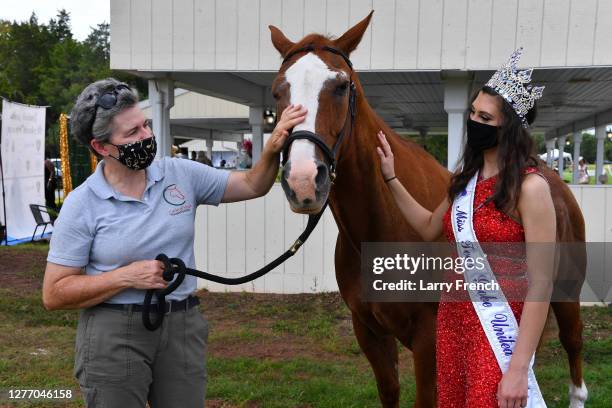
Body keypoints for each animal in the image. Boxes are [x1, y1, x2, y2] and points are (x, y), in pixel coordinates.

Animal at [268, 11, 588, 406]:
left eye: (342, 86)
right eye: (277, 91)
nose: (303, 180)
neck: (382, 226)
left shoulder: (428, 337)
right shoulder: (368, 330)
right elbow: (389, 391)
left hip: (566, 290)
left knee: (572, 342)